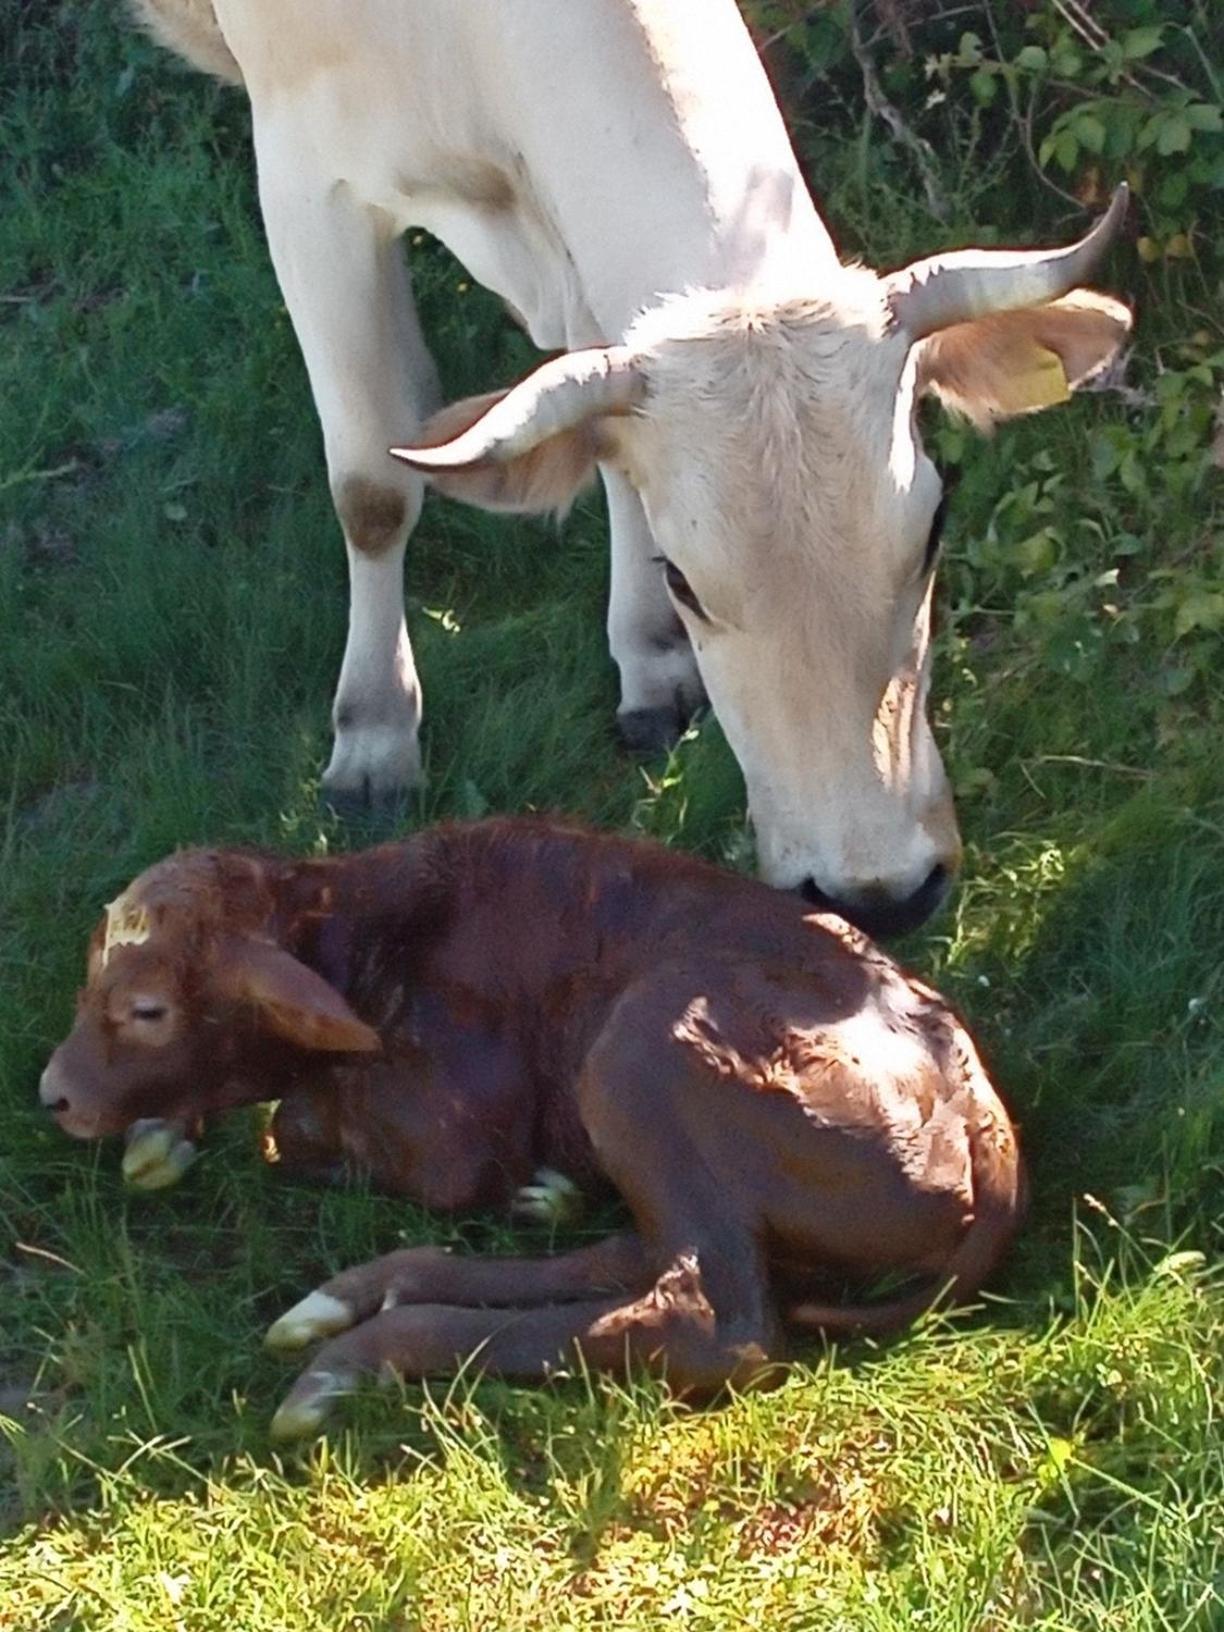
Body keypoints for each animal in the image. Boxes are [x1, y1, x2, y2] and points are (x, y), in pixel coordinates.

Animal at [40, 822, 1024, 1436]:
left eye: (148, 1009)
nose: (54, 1094)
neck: (375, 935)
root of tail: (984, 1121)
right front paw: (163, 1132)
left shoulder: (454, 1133)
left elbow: (296, 1127)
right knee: (654, 1257)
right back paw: (382, 1284)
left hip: (639, 1046)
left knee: (714, 1320)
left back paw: (358, 1352)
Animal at [133, 0, 1129, 940]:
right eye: (687, 582)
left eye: (931, 533)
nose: (879, 893)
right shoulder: (308, 183)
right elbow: (371, 489)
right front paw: (374, 738)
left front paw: (649, 664)